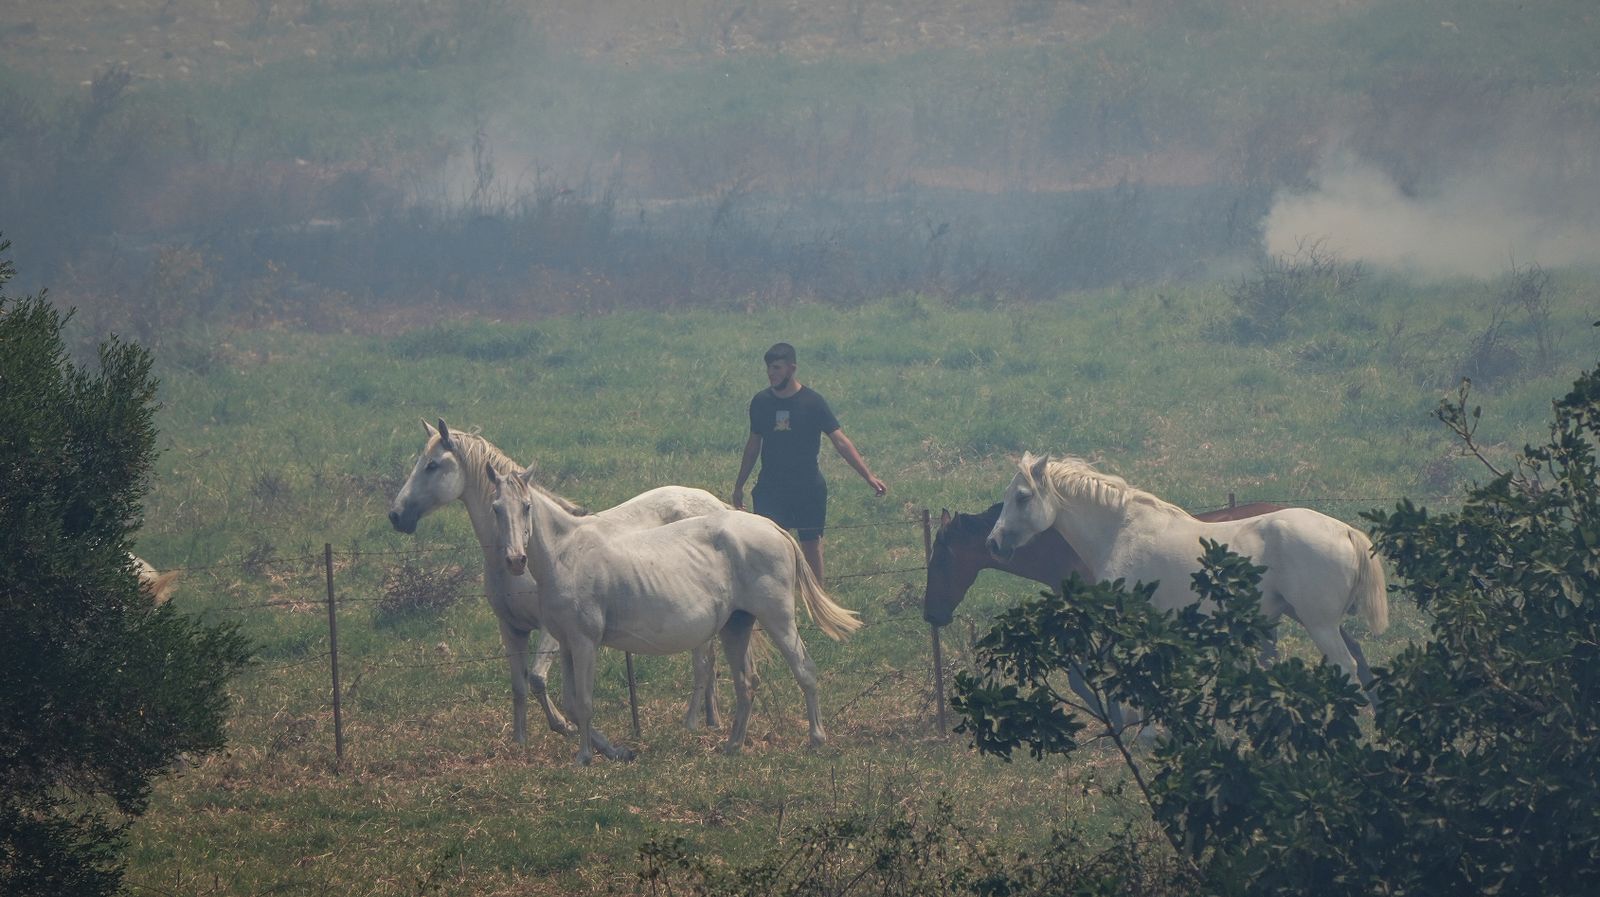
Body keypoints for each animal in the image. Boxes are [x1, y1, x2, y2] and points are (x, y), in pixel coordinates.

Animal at [388, 419, 730, 744]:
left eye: (432, 465)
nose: (396, 515)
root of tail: (718, 506)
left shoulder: (551, 632)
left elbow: (538, 679)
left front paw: (564, 726)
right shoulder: (511, 629)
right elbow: (519, 686)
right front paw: (521, 742)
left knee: (704, 661)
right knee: (709, 659)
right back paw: (711, 719)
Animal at [487, 462, 862, 765]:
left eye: (526, 507)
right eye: (495, 509)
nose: (515, 560)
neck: (568, 554)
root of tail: (773, 527)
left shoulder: (584, 643)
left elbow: (584, 703)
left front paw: (585, 758)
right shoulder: (566, 644)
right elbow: (569, 702)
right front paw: (614, 751)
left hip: (778, 619)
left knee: (804, 669)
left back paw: (816, 739)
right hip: (735, 626)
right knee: (747, 683)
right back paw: (733, 745)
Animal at [986, 454, 1387, 689]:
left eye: (1022, 497)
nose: (994, 542)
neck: (1120, 531)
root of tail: (1345, 531)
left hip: (1320, 625)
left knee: (1347, 667)